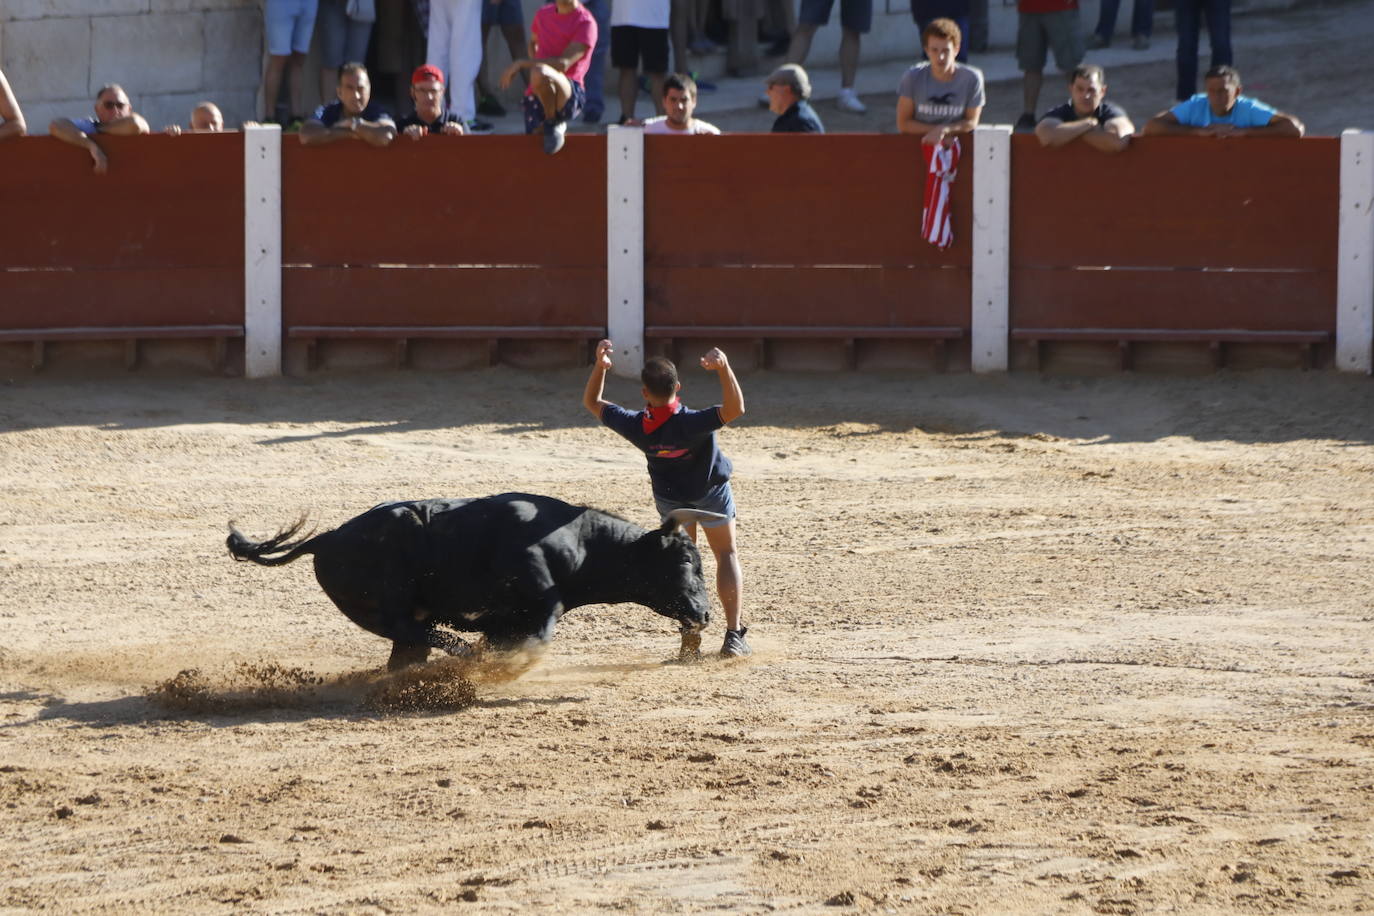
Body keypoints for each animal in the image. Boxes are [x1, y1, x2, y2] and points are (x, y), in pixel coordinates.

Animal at [222, 491, 719, 670]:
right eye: (687, 561)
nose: (705, 613)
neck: (577, 542)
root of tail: (328, 538)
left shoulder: (511, 618)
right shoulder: (541, 604)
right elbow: (537, 638)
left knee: (410, 645)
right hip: (385, 606)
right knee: (415, 632)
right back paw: (465, 659)